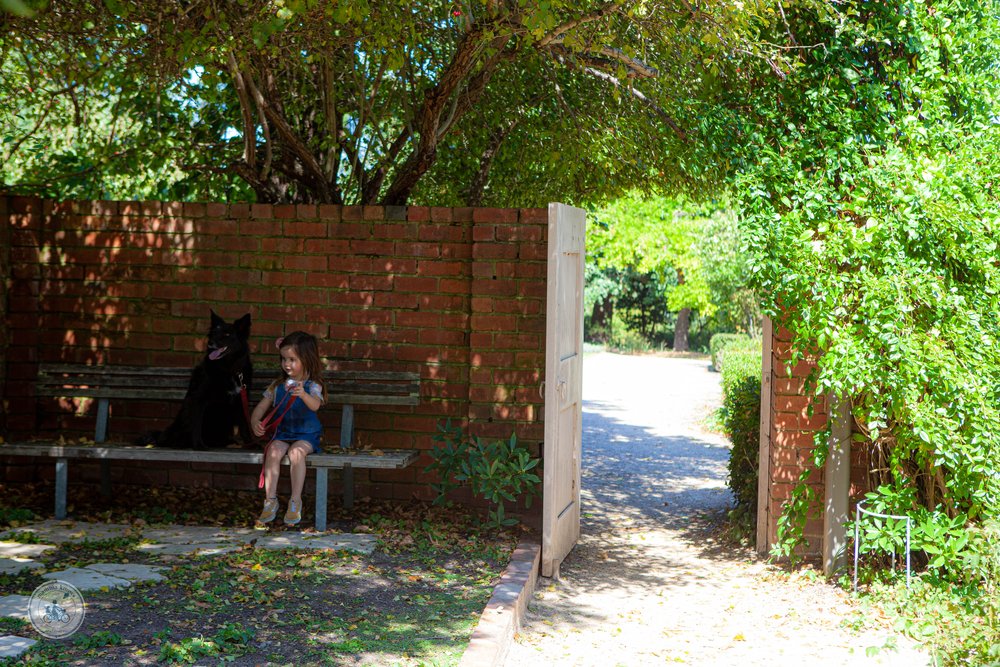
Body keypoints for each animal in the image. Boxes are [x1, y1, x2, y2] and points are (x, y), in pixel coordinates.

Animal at [143, 312, 256, 448]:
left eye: (227, 334)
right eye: (213, 333)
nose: (210, 343)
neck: (228, 368)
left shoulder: (241, 399)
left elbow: (245, 425)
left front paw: (251, 444)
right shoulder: (199, 399)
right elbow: (196, 424)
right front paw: (198, 445)